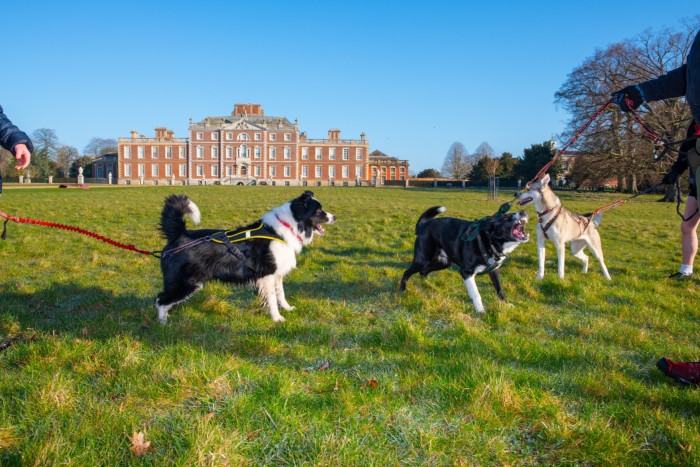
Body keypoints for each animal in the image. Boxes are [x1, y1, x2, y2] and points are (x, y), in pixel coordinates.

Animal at [157, 192, 336, 324]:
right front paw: (277, 318)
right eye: (318, 211)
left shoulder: (277, 274)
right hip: (185, 283)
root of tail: (178, 234)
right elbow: (272, 298)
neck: (283, 229)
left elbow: (281, 294)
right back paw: (163, 323)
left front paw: (287, 308)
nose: (335, 217)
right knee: (161, 299)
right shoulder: (267, 274)